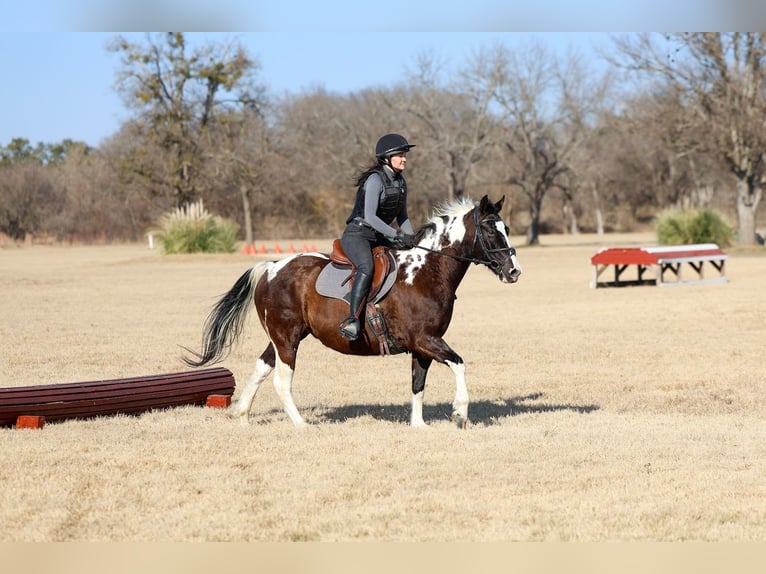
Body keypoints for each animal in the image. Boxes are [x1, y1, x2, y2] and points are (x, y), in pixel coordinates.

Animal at [183, 195, 522, 428]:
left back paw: (242, 415)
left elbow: (418, 384)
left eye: (506, 229)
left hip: (283, 337)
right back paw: (301, 424)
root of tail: (270, 268)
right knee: (282, 379)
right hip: (287, 338)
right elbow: (459, 364)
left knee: (262, 367)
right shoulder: (425, 340)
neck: (428, 271)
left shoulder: (423, 345)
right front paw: (460, 412)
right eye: (491, 232)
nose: (514, 271)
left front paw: (419, 425)